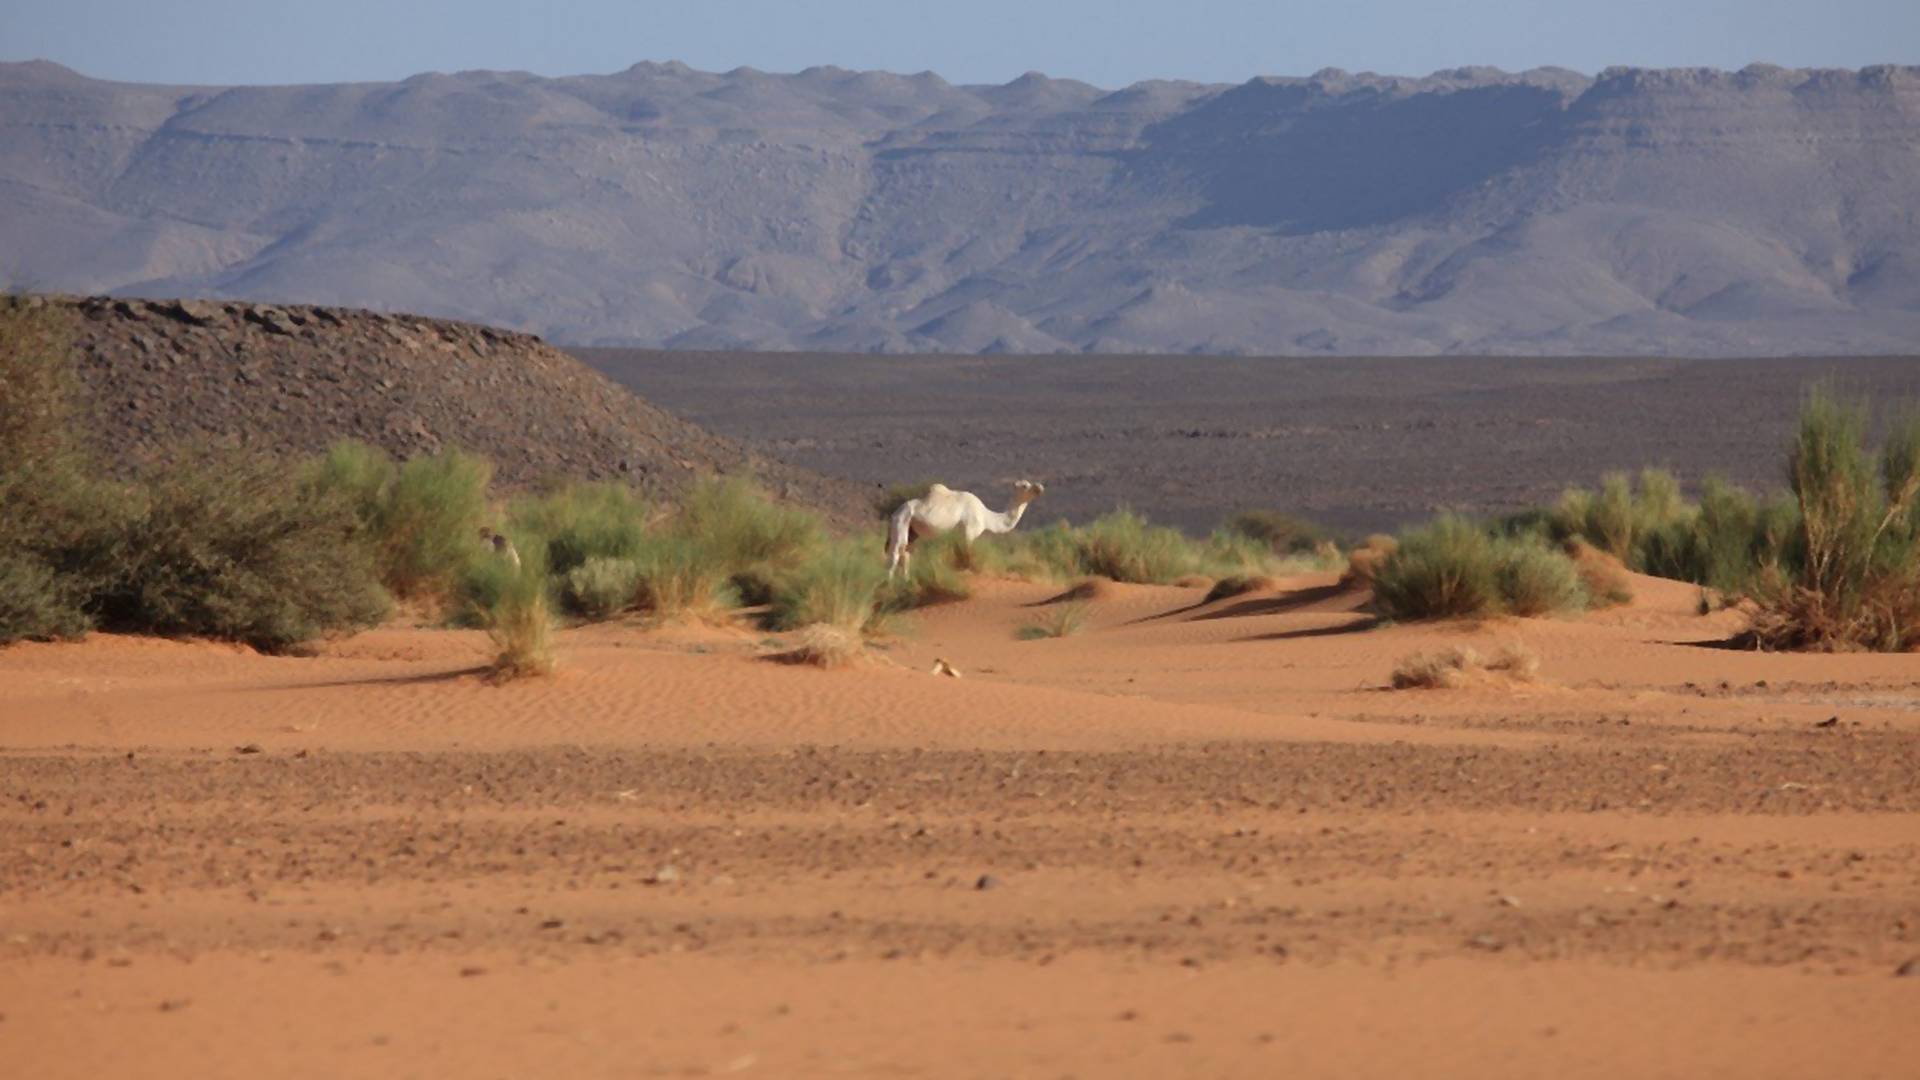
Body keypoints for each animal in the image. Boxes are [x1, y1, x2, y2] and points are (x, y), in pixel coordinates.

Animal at [887, 480, 1044, 580]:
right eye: (1024, 485)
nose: (1040, 487)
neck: (986, 517)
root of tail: (894, 513)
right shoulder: (969, 532)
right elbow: (968, 556)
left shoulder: (958, 536)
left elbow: (960, 555)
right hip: (901, 523)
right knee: (895, 554)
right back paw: (889, 584)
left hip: (913, 533)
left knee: (906, 554)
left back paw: (906, 582)